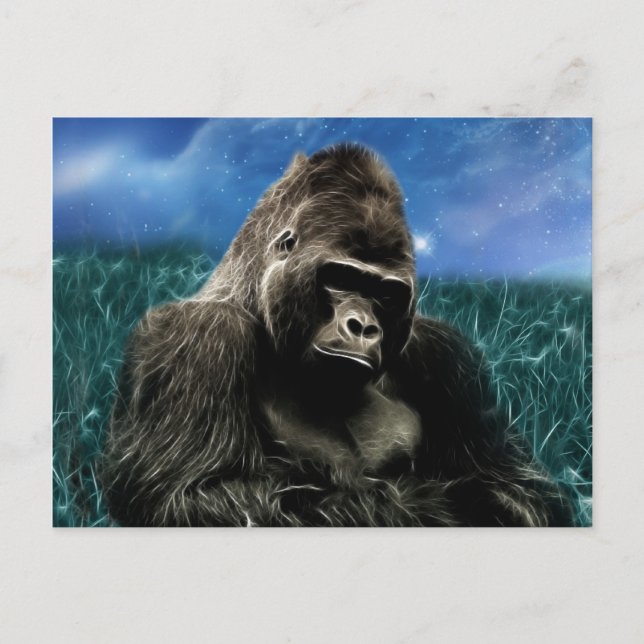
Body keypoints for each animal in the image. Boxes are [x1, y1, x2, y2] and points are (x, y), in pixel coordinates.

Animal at [101, 143, 572, 527]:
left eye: (386, 293)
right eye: (341, 278)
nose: (362, 326)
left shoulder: (447, 353)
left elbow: (524, 491)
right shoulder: (199, 336)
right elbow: (189, 498)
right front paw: (447, 503)